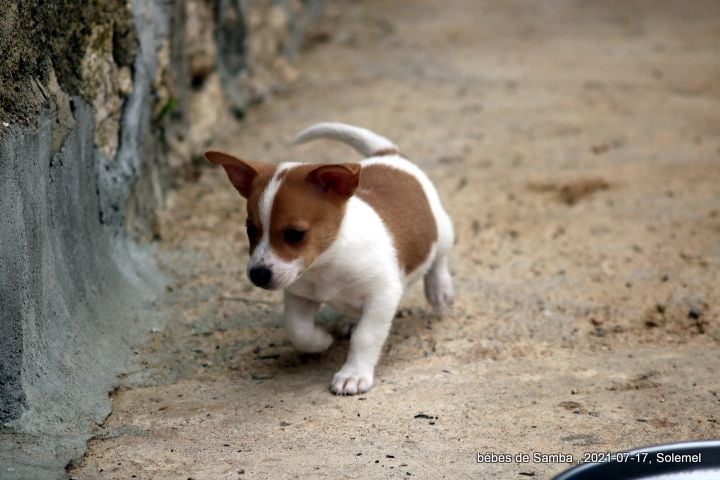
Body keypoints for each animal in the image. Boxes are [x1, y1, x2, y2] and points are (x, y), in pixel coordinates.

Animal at [205, 123, 452, 394]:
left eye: (295, 234)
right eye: (250, 230)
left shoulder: (383, 296)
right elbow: (297, 329)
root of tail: (389, 156)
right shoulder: (300, 295)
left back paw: (439, 289)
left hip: (443, 230)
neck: (327, 264)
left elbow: (365, 337)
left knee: (439, 258)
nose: (258, 275)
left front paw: (353, 374)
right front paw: (321, 341)